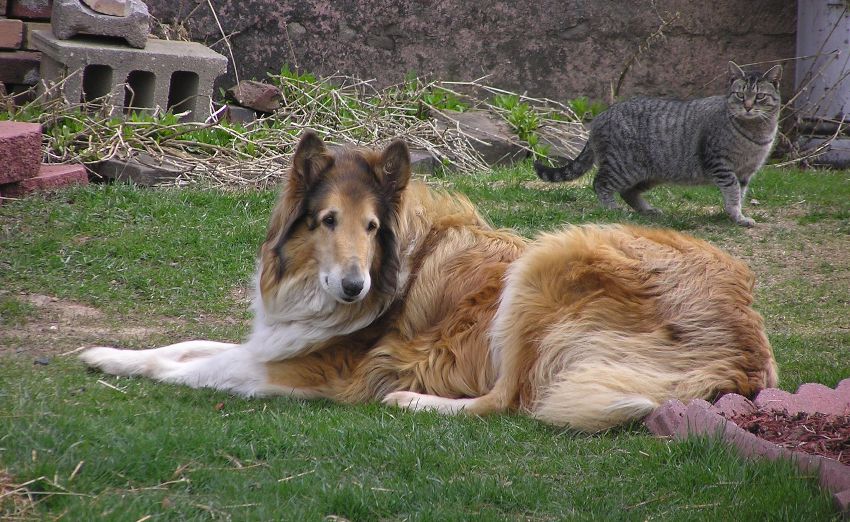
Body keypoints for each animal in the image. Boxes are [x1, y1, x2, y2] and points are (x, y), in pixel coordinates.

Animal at [81, 131, 776, 430]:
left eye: (371, 226)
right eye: (328, 221)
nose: (354, 290)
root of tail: (747, 345)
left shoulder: (311, 370)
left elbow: (195, 366)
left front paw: (131, 368)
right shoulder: (278, 341)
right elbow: (185, 345)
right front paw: (105, 352)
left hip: (548, 261)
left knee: (510, 402)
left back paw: (413, 400)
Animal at [536, 62, 780, 224]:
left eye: (760, 97)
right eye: (740, 95)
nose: (747, 106)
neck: (756, 134)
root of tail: (602, 115)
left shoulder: (746, 172)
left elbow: (740, 193)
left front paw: (735, 213)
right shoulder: (720, 164)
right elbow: (732, 191)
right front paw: (737, 215)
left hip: (649, 174)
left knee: (628, 192)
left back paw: (647, 209)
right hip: (624, 167)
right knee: (600, 183)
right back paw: (611, 208)